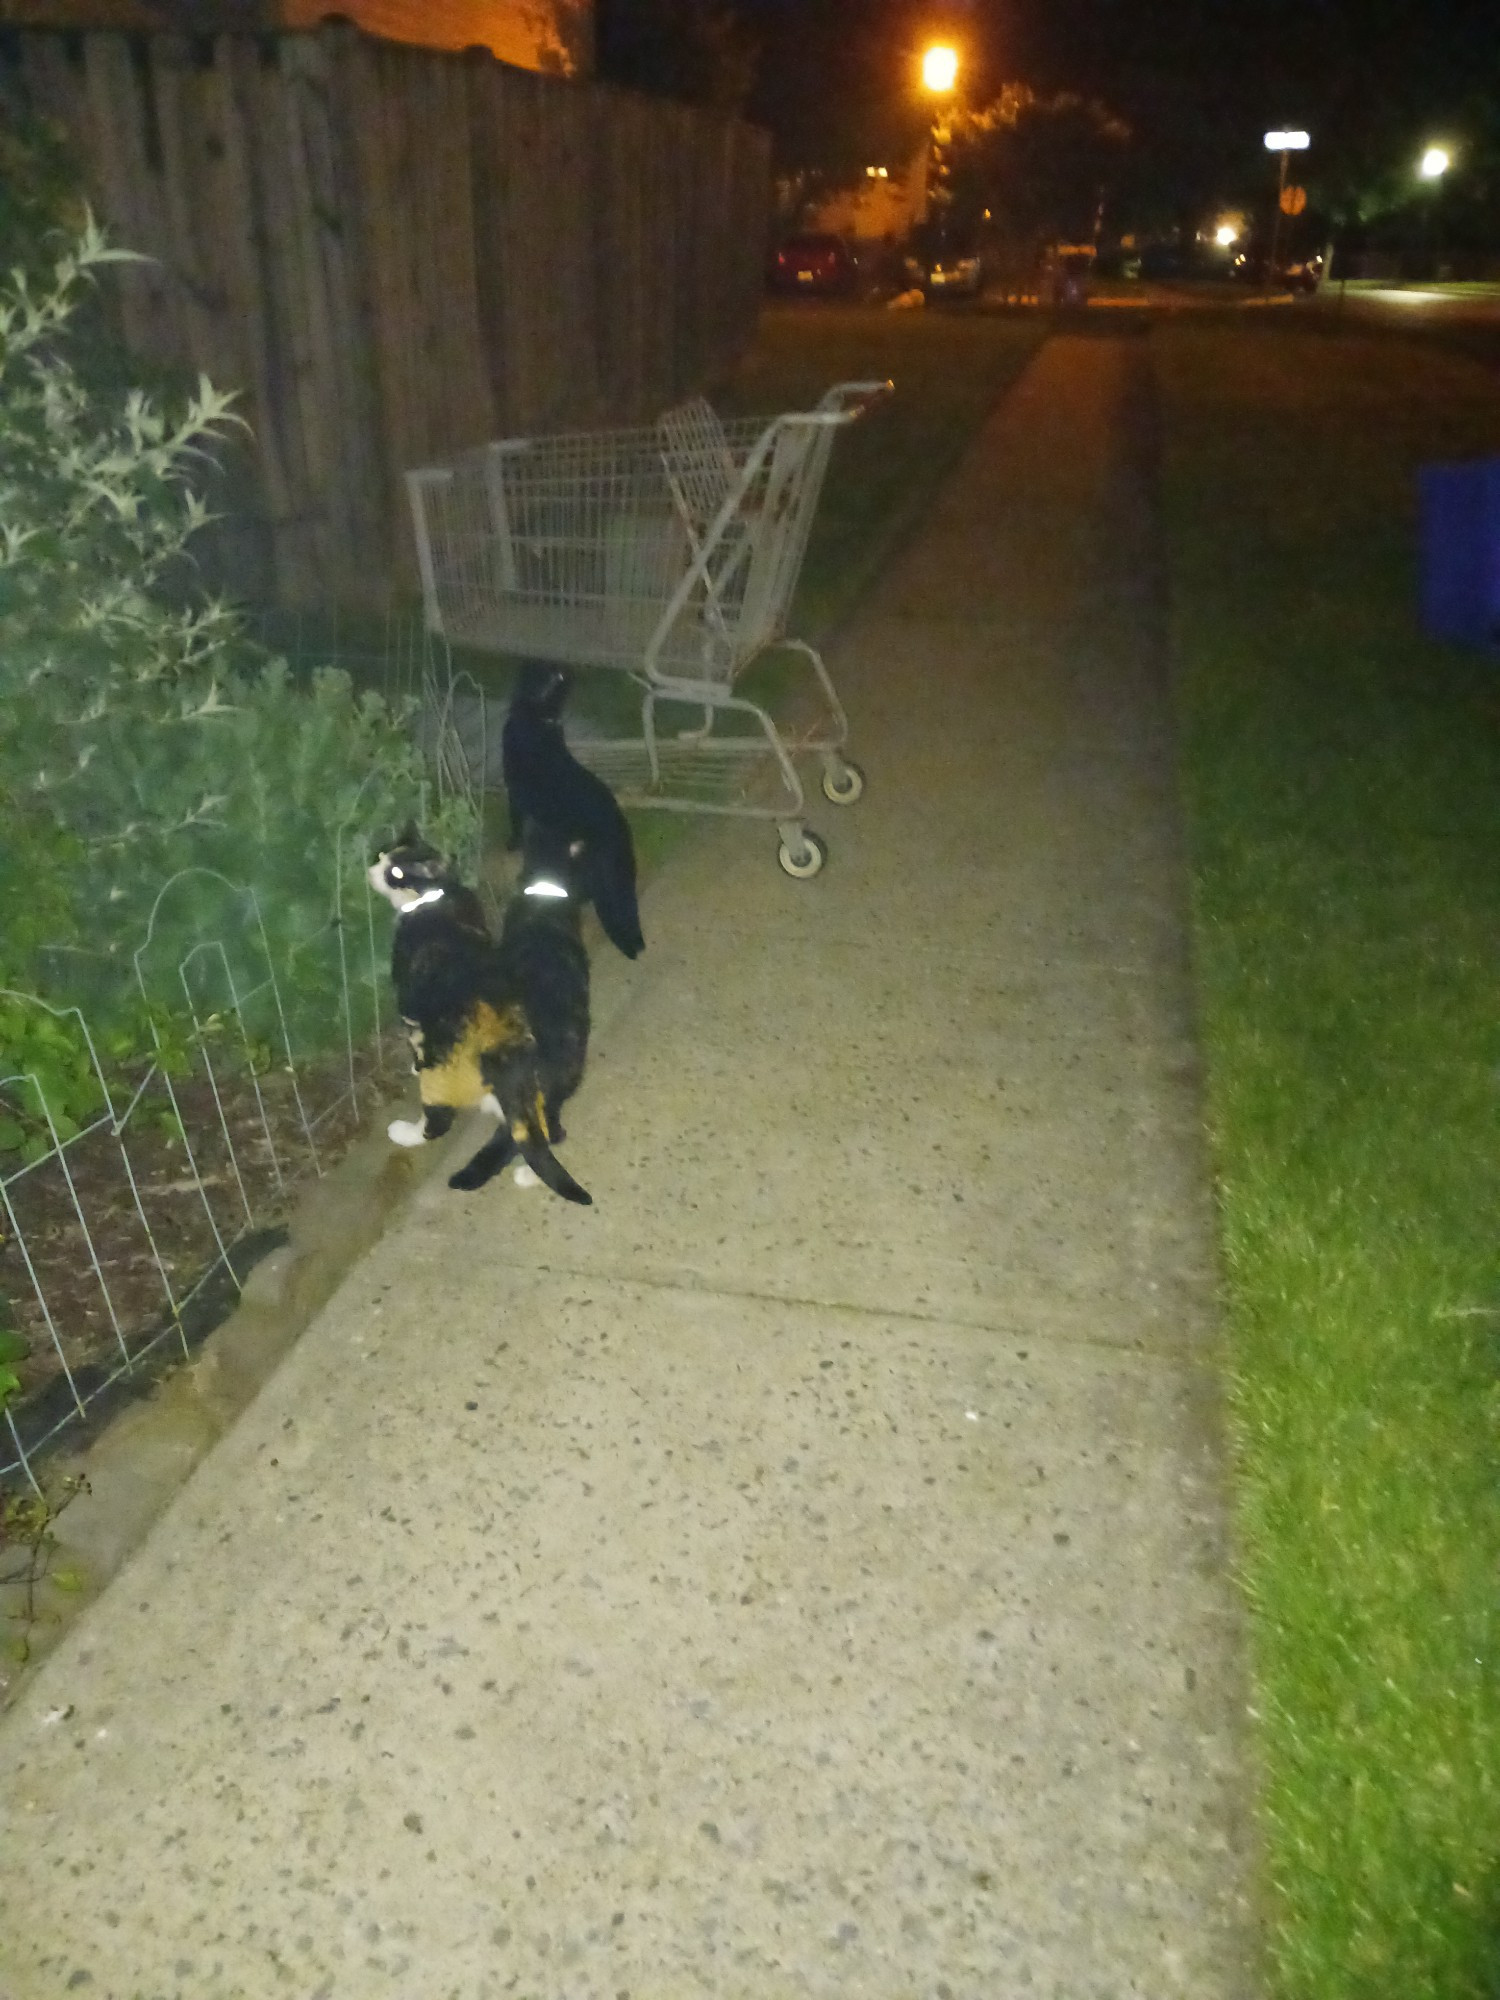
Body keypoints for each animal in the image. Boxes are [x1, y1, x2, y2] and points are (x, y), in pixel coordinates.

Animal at [370, 828, 592, 1200]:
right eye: (382, 855)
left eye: (396, 872)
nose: (372, 869)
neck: (434, 896)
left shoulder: (410, 1000)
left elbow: (413, 1034)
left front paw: (413, 1063)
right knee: (547, 1132)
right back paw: (531, 1172)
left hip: (442, 1076)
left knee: (438, 1121)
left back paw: (406, 1132)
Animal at [506, 664, 648, 960]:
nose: (569, 669)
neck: (539, 721)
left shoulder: (514, 793)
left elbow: (514, 824)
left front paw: (511, 844)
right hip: (616, 871)